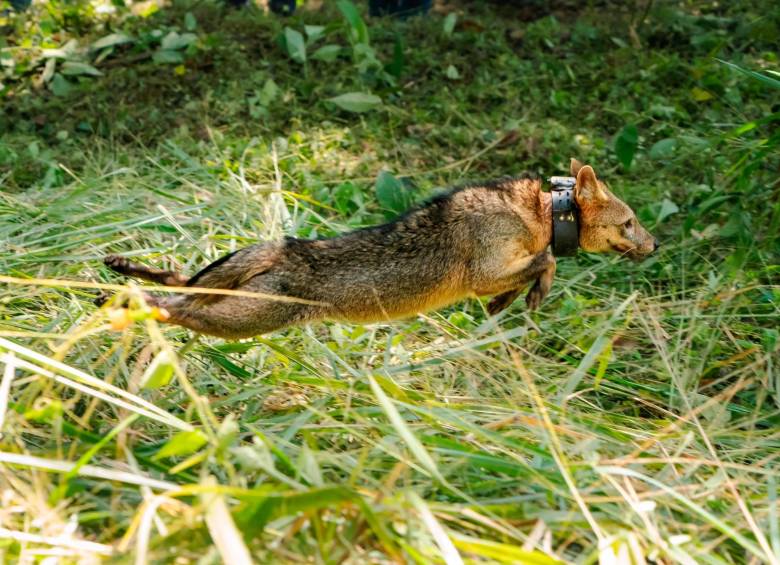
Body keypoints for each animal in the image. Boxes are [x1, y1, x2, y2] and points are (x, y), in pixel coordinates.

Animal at [102, 158, 660, 340]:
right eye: (630, 223)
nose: (655, 245)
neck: (540, 214)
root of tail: (284, 246)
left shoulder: (491, 275)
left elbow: (529, 273)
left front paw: (508, 303)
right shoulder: (482, 271)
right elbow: (545, 263)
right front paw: (532, 293)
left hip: (231, 302)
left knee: (181, 282)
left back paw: (125, 275)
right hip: (247, 320)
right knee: (174, 305)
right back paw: (129, 305)